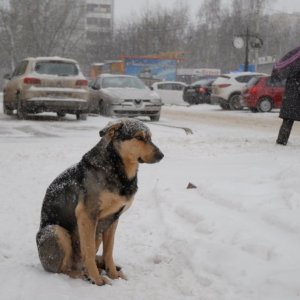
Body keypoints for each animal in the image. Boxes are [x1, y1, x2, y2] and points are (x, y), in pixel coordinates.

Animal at [37, 118, 165, 284]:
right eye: (139, 137)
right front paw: (97, 279)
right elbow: (89, 251)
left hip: (96, 232)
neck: (117, 169)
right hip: (56, 231)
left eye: (150, 138)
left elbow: (108, 251)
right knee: (64, 270)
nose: (161, 155)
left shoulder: (113, 219)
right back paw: (84, 275)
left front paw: (114, 275)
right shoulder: (87, 215)